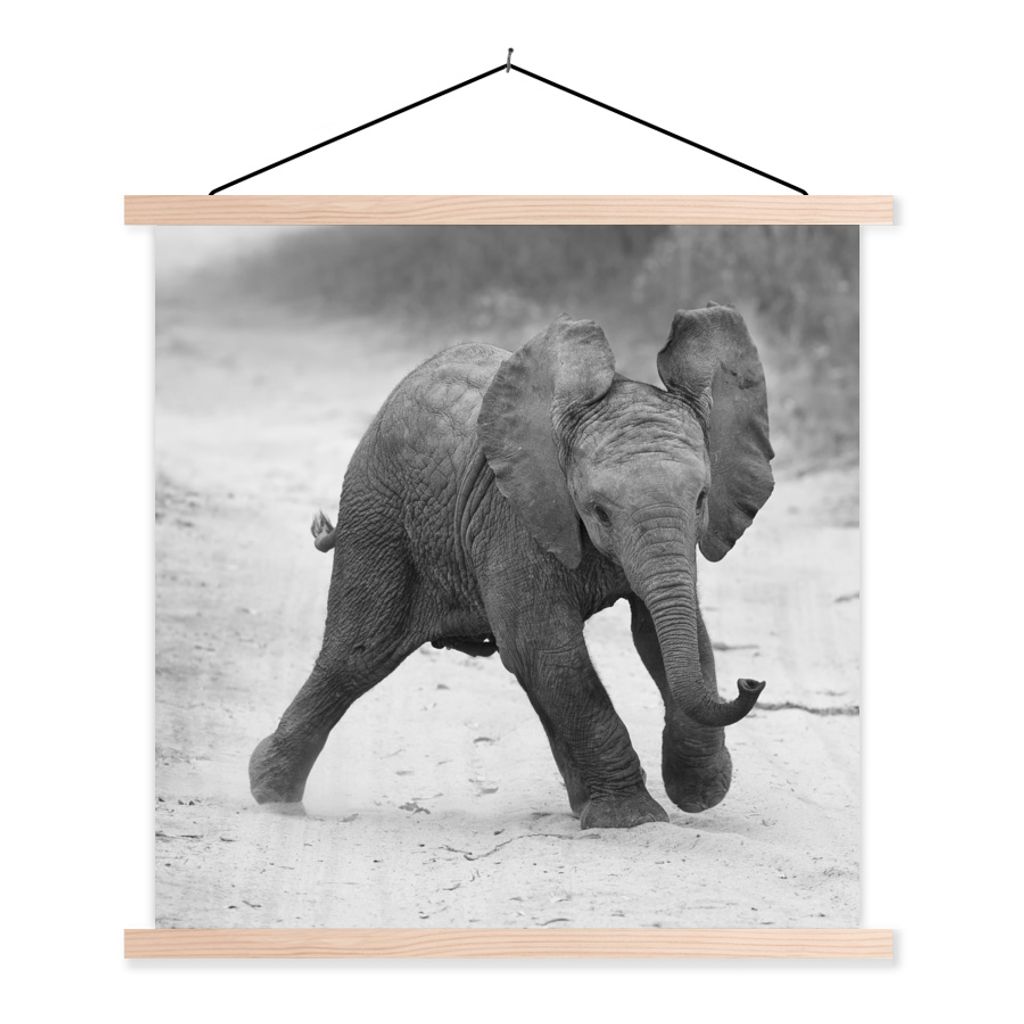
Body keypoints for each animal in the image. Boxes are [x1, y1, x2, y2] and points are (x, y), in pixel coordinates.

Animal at [249, 303, 774, 829]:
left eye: (702, 498)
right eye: (599, 511)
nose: (751, 682)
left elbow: (667, 635)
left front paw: (699, 792)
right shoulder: (513, 518)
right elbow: (548, 648)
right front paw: (633, 820)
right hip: (377, 515)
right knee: (357, 653)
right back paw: (271, 792)